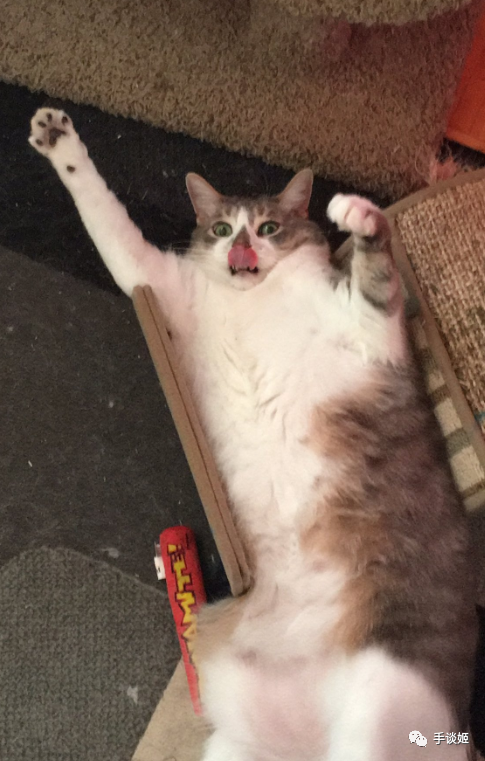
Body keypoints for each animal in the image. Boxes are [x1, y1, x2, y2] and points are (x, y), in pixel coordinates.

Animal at [29, 108, 477, 761]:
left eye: (268, 227)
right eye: (220, 229)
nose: (242, 247)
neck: (254, 297)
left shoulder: (369, 332)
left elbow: (375, 271)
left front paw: (360, 217)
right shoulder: (154, 279)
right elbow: (105, 216)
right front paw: (58, 140)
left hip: (379, 699)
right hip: (234, 742)